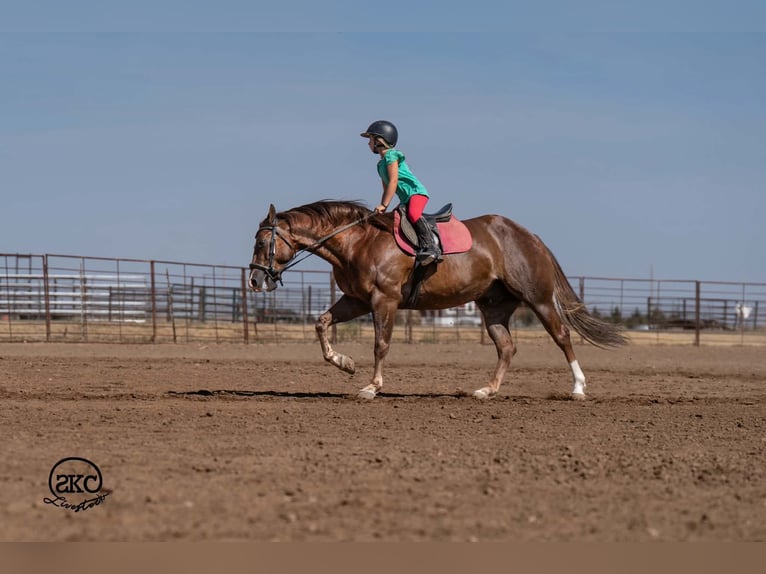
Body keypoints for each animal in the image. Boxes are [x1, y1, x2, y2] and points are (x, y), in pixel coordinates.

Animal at [248, 200, 626, 400]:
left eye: (262, 243)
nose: (254, 280)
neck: (358, 241)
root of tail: (529, 236)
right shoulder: (357, 300)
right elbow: (321, 322)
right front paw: (345, 363)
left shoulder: (383, 301)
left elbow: (380, 345)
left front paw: (372, 386)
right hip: (494, 306)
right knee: (506, 347)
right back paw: (487, 390)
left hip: (539, 298)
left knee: (561, 336)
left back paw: (578, 388)